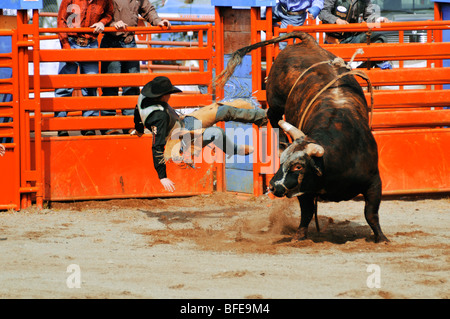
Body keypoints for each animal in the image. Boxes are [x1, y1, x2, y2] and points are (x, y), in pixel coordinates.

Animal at [216, 31, 388, 244]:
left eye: (298, 166)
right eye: (282, 163)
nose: (273, 186)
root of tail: (308, 41)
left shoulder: (374, 182)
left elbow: (371, 213)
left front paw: (381, 237)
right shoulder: (303, 189)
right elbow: (307, 211)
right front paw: (299, 236)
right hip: (276, 100)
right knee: (272, 116)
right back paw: (281, 140)